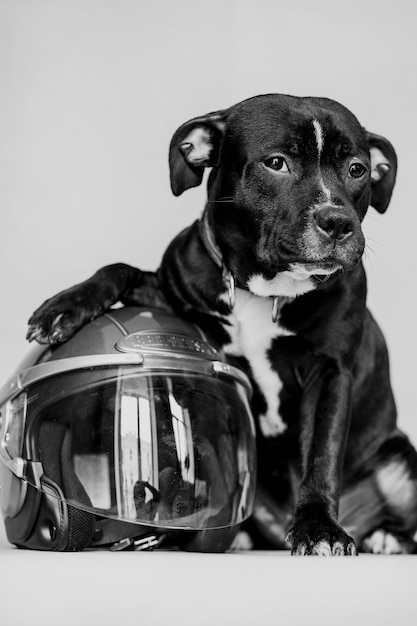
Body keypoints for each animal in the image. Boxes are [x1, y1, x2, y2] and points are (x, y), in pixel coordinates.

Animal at [27, 92, 416, 552]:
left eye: (357, 169)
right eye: (276, 162)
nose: (337, 221)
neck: (262, 291)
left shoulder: (331, 373)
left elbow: (322, 455)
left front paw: (319, 527)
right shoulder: (173, 293)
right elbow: (121, 268)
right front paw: (66, 306)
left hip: (401, 462)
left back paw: (384, 538)